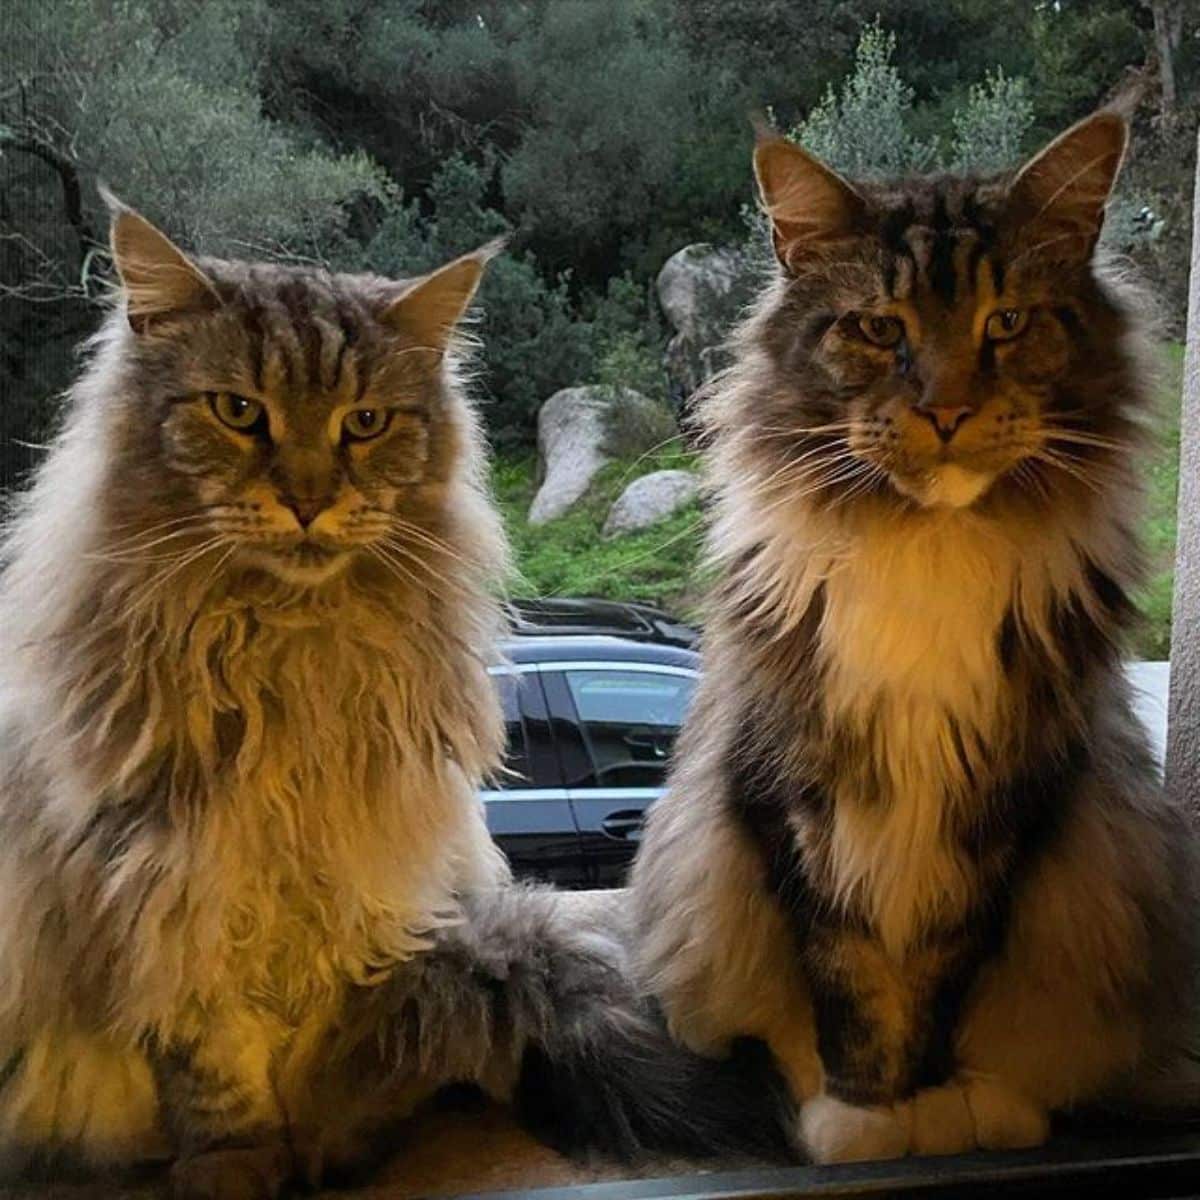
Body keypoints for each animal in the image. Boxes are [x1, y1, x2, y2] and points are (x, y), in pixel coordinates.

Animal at [0, 194, 782, 1190]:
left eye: (365, 422)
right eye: (238, 411)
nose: (307, 499)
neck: (290, 655)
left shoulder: (367, 886)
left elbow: (340, 1052)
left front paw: (336, 1143)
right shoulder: (174, 890)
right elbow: (219, 1076)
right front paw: (241, 1167)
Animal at [633, 112, 1195, 1161]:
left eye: (1006, 323)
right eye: (877, 328)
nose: (946, 410)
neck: (926, 544)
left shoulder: (1007, 800)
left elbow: (942, 976)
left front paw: (933, 1104)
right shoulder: (789, 790)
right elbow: (844, 976)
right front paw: (861, 1112)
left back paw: (1002, 1106)